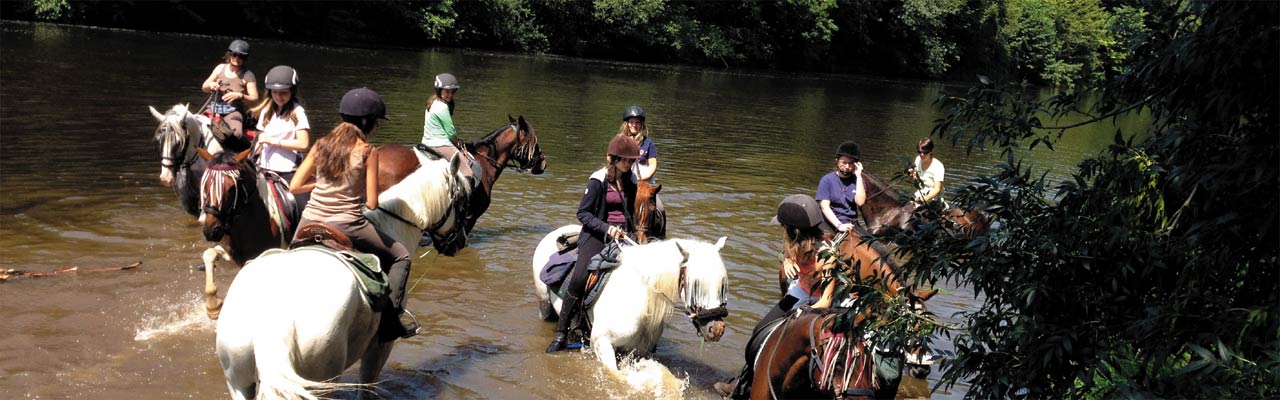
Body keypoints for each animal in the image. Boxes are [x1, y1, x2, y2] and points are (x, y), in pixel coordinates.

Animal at [215, 153, 471, 400]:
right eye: (462, 201)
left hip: (238, 382)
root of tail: (274, 323)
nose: (459, 242)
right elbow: (367, 387)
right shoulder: (380, 346)